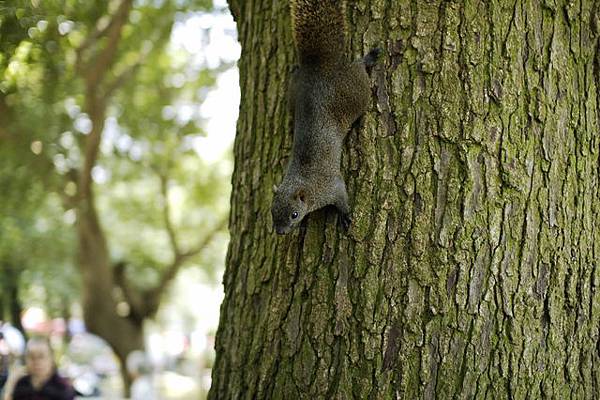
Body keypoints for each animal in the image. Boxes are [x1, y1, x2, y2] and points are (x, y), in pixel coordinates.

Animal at [272, 0, 380, 234]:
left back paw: (369, 57)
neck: (305, 184)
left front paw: (345, 216)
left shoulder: (331, 187)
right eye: (272, 211)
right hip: (293, 93)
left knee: (359, 68)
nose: (281, 231)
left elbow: (342, 197)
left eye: (294, 214)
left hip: (356, 92)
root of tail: (318, 67)